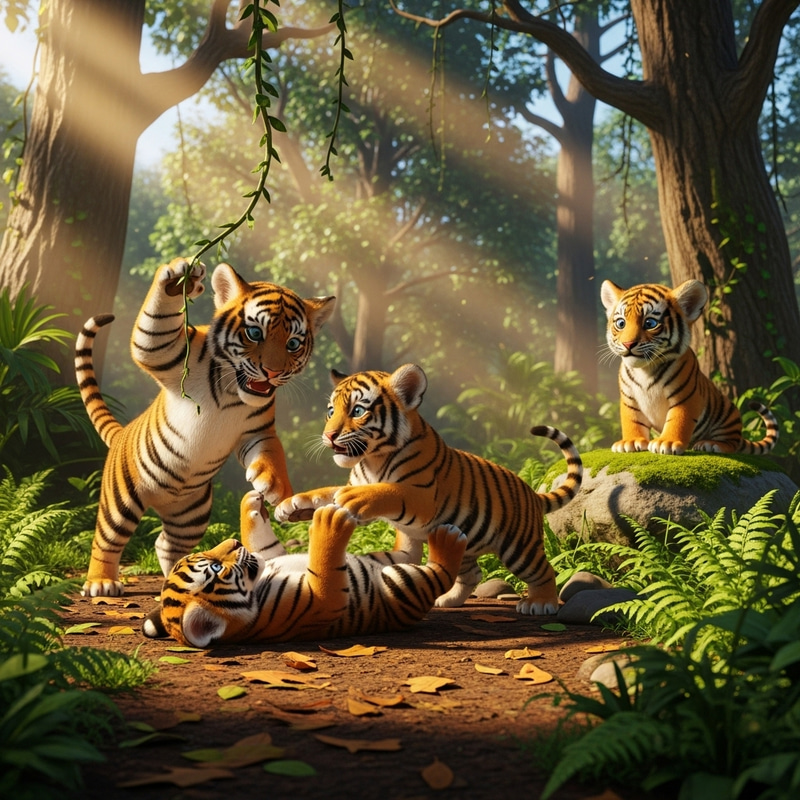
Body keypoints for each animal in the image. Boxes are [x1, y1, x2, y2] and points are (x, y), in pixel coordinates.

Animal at [74, 257, 334, 598]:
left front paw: (274, 486)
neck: (231, 391)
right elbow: (152, 335)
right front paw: (179, 275)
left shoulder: (257, 432)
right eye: (254, 332)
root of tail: (122, 432)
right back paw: (101, 583)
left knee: (166, 543)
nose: (272, 371)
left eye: (293, 344)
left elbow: (271, 453)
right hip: (121, 500)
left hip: (191, 516)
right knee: (107, 540)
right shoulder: (167, 352)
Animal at [143, 490, 467, 647]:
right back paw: (448, 538)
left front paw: (252, 503)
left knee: (407, 547)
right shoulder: (322, 603)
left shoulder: (269, 554)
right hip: (401, 582)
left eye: (205, 554)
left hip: (386, 558)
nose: (233, 542)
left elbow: (261, 541)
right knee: (439, 572)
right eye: (213, 566)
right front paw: (328, 520)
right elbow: (325, 570)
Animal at [274, 364, 583, 616]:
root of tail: (531, 492)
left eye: (358, 411)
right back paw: (448, 600)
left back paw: (540, 603)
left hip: (519, 547)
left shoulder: (422, 496)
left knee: (544, 570)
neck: (372, 460)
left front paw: (352, 498)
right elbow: (326, 491)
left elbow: (388, 491)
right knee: (471, 573)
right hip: (461, 541)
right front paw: (291, 505)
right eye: (330, 411)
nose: (328, 436)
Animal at [600, 279, 778, 455]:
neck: (645, 370)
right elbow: (632, 421)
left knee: (731, 443)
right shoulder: (629, 400)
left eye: (650, 323)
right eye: (621, 323)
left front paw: (667, 443)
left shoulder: (685, 398)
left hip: (727, 414)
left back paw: (711, 444)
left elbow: (678, 421)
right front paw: (630, 442)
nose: (628, 344)